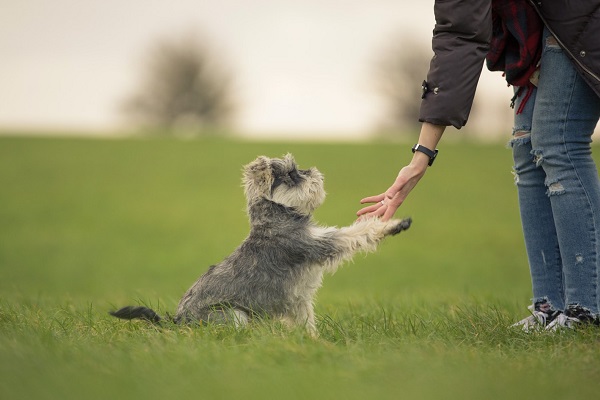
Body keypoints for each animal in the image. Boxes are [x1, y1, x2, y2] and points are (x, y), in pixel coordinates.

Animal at [111, 155, 412, 336]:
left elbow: (307, 324)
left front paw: (313, 341)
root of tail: (176, 322)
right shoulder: (319, 244)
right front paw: (393, 224)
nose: (312, 172)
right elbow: (357, 233)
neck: (277, 216)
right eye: (290, 175)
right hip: (233, 316)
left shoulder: (299, 299)